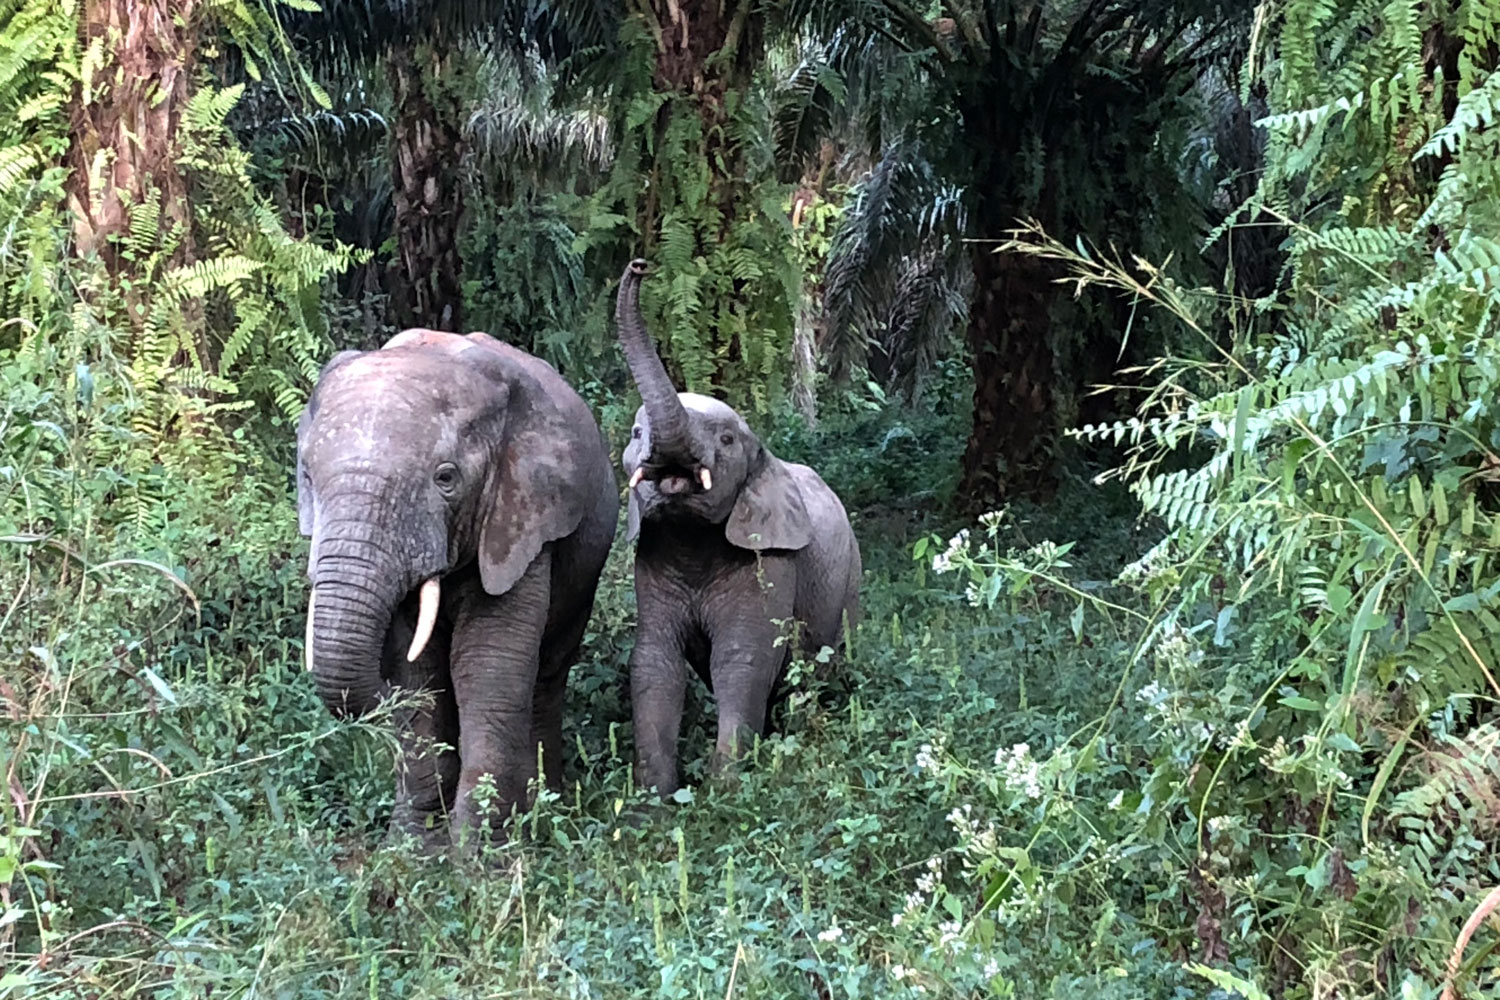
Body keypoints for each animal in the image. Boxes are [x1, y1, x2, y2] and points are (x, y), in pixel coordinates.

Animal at [295, 329, 618, 845]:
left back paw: (546, 806)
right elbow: (419, 674)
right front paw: (413, 848)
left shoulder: (520, 516)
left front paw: (478, 853)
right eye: (307, 476)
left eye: (446, 479)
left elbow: (485, 668)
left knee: (547, 673)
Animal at [615, 260, 864, 797]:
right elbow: (654, 663)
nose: (640, 265)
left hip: (851, 574)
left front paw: (724, 790)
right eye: (636, 434)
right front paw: (655, 796)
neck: (691, 536)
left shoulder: (769, 562)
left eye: (728, 440)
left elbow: (742, 658)